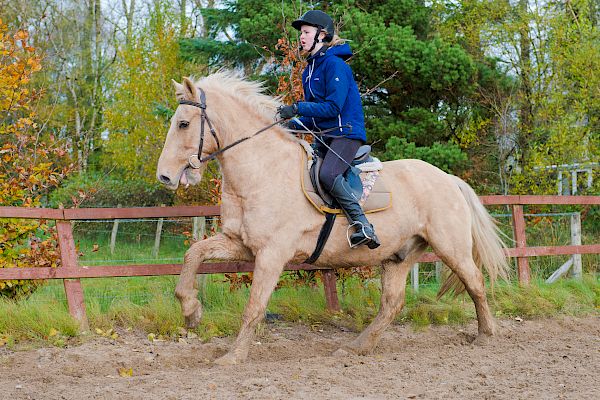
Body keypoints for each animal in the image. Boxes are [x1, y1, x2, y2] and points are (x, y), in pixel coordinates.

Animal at [157, 72, 508, 366]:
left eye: (184, 124)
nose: (165, 177)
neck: (264, 170)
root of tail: (448, 178)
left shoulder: (272, 253)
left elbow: (255, 306)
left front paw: (232, 357)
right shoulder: (239, 243)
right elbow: (193, 254)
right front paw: (191, 312)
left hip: (451, 247)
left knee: (475, 282)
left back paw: (486, 335)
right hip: (399, 255)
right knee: (392, 303)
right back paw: (355, 348)